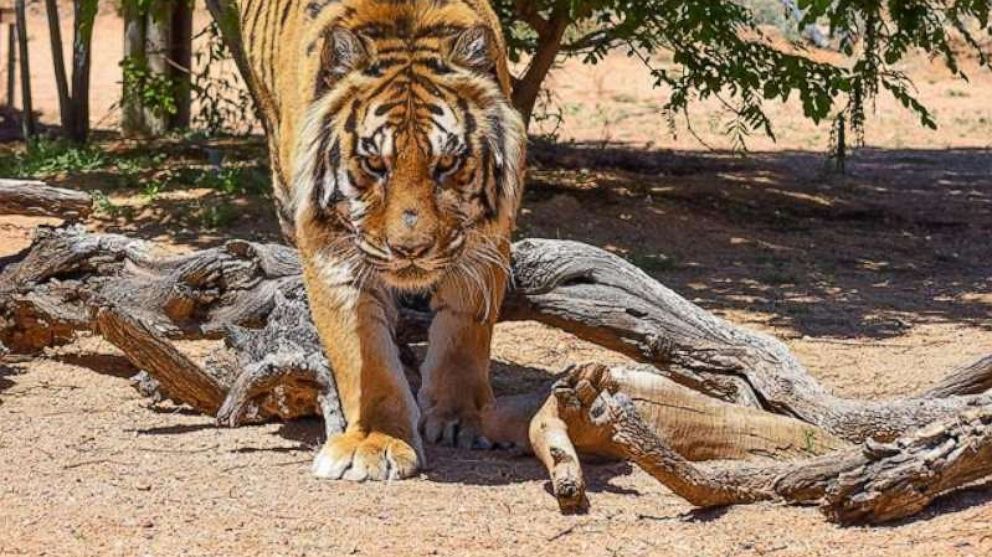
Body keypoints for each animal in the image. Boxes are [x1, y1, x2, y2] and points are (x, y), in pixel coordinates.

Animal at [209, 0, 532, 478]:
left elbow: (464, 333)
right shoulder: (331, 250)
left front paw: (460, 418)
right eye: (375, 164)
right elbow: (365, 355)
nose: (411, 250)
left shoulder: (487, 240)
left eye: (448, 164)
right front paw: (377, 441)